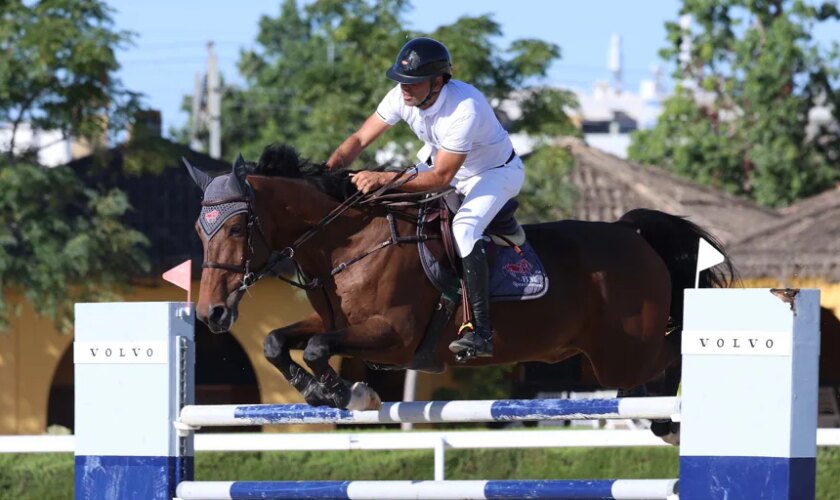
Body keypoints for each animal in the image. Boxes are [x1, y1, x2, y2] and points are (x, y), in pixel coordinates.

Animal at [184, 142, 736, 438]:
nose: (211, 314)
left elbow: (318, 348)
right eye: (199, 232)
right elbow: (277, 341)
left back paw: (671, 422)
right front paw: (319, 391)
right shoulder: (338, 322)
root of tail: (632, 232)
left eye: (238, 228)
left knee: (671, 356)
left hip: (622, 351)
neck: (348, 239)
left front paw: (350, 393)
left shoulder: (395, 336)